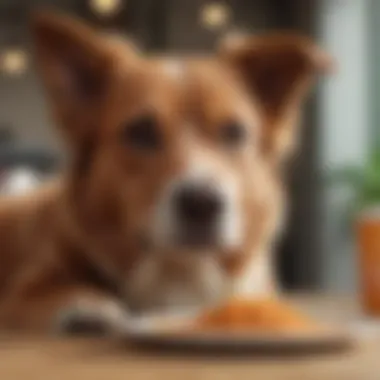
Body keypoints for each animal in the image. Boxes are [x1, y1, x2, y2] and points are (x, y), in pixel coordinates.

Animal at [0, 11, 332, 332]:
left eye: (234, 132)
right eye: (141, 132)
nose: (202, 204)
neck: (180, 270)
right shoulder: (27, 287)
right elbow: (53, 288)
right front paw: (88, 306)